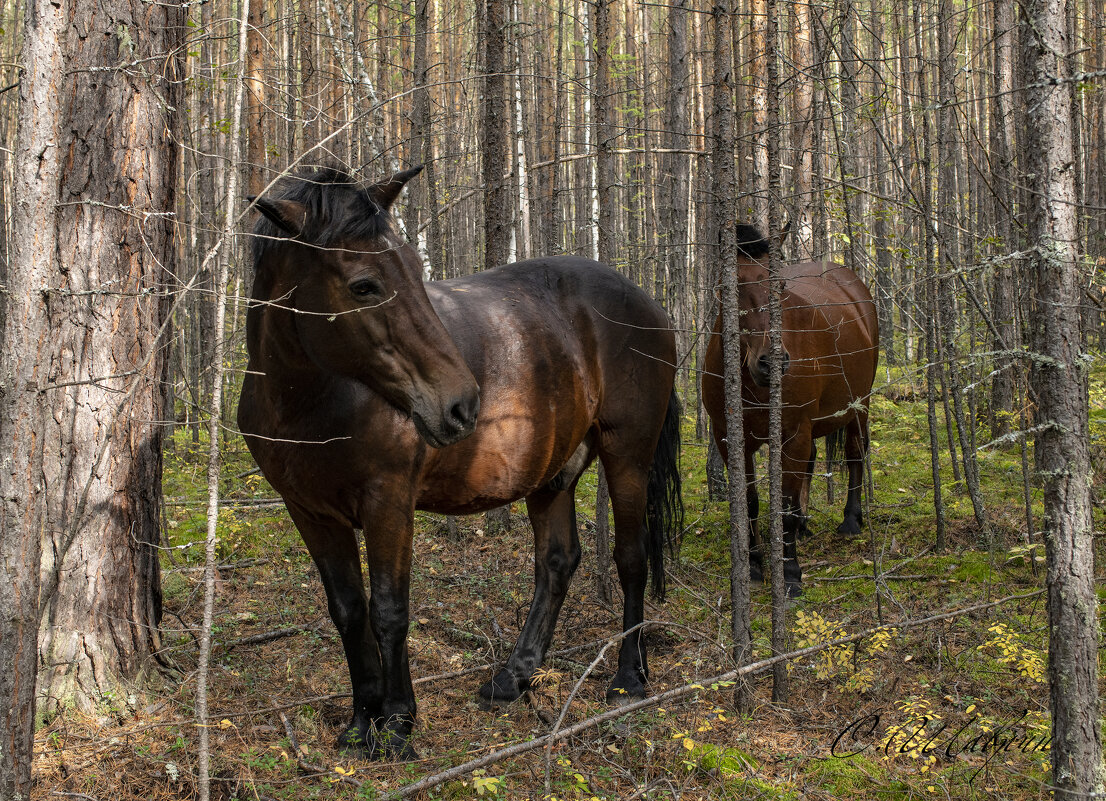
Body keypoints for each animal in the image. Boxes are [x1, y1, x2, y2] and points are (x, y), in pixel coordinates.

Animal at [237, 167, 676, 756]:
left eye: (416, 270)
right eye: (363, 286)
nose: (461, 404)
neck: (309, 403)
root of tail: (648, 303)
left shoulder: (388, 503)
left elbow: (389, 609)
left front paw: (398, 722)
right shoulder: (309, 512)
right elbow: (349, 612)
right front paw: (361, 721)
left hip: (627, 453)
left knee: (631, 559)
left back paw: (628, 678)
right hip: (551, 471)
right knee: (557, 562)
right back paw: (514, 676)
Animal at [703, 223, 875, 593]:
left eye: (780, 286)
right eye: (728, 287)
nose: (772, 362)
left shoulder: (794, 432)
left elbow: (784, 507)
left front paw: (791, 573)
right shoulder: (730, 438)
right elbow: (750, 503)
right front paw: (754, 565)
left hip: (860, 404)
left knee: (855, 452)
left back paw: (851, 520)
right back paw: (806, 525)